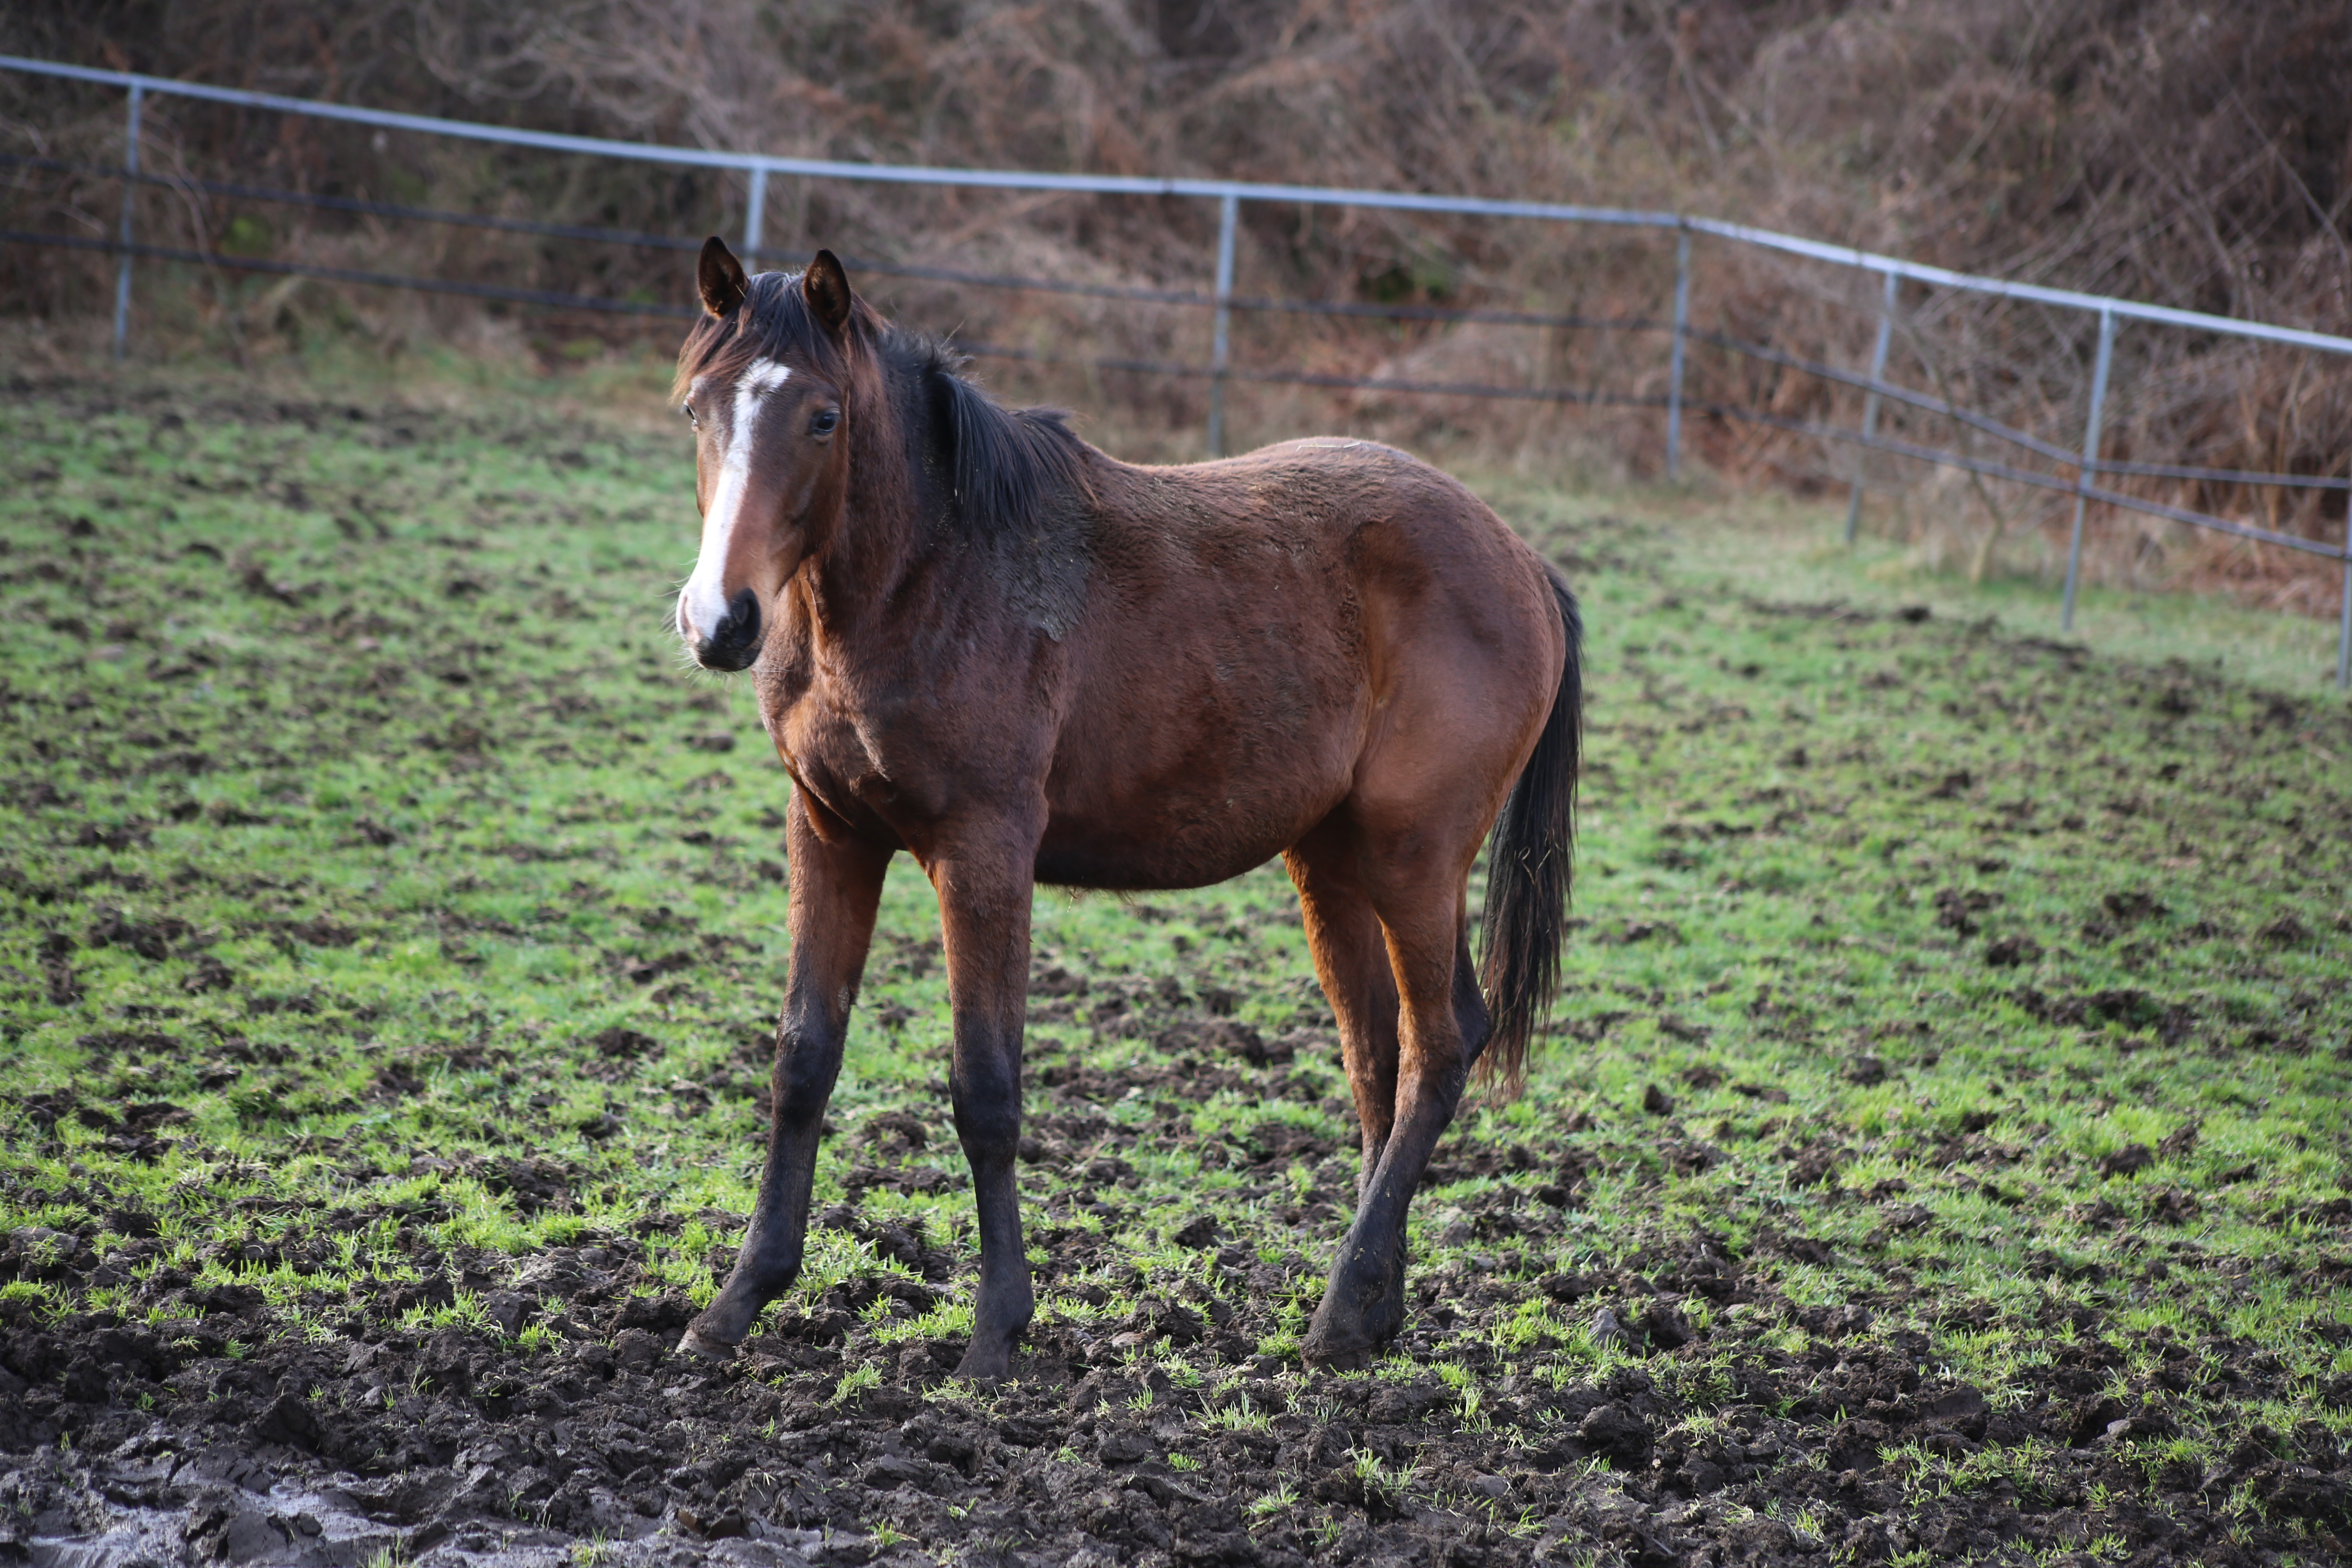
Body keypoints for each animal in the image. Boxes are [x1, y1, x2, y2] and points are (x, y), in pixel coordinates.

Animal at [668, 236, 1580, 1373]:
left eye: (823, 417)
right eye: (695, 409)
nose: (720, 619)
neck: (929, 575)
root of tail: (1523, 564)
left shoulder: (983, 851)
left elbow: (985, 1086)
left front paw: (994, 1331)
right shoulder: (831, 831)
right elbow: (802, 1060)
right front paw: (735, 1302)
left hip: (1414, 856)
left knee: (1441, 1045)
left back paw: (1338, 1309)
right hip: (1330, 861)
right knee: (1378, 1060)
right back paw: (1373, 1310)